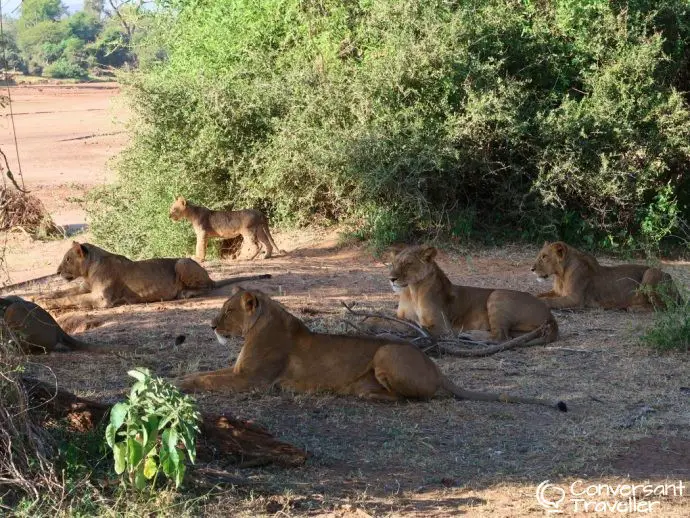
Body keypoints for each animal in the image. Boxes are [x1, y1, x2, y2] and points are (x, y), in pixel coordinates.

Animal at [36, 243, 270, 310]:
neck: (90, 269)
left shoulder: (102, 299)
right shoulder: (86, 287)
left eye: (67, 259)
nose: (57, 271)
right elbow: (65, 292)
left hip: (182, 262)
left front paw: (47, 304)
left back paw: (185, 293)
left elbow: (72, 298)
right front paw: (39, 297)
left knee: (208, 287)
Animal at [177, 288, 564, 414]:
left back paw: (369, 396)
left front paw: (178, 385)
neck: (260, 324)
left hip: (385, 354)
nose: (211, 326)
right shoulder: (241, 374)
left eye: (228, 311)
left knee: (411, 398)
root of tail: (437, 368)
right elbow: (204, 374)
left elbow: (206, 380)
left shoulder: (252, 380)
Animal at [388, 246, 560, 344]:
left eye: (408, 263)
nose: (391, 278)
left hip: (497, 294)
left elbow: (407, 326)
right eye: (393, 263)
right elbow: (398, 322)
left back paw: (470, 335)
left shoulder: (443, 327)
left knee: (500, 337)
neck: (411, 291)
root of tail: (550, 315)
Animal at [528, 242, 680, 310]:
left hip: (651, 273)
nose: (531, 269)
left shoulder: (576, 299)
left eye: (544, 256)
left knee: (664, 307)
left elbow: (549, 301)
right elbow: (540, 294)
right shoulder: (557, 292)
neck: (560, 275)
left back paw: (632, 307)